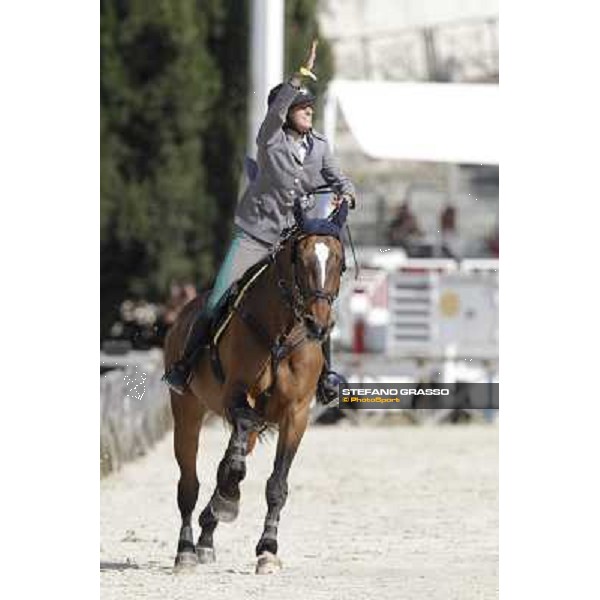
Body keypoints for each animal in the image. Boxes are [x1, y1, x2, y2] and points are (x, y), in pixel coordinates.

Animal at [164, 199, 352, 576]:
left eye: (338, 261)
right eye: (301, 260)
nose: (319, 324)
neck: (282, 330)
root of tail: (181, 315)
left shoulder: (297, 415)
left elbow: (276, 484)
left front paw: (267, 550)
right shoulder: (236, 395)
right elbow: (236, 452)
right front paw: (228, 499)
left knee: (228, 459)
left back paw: (209, 530)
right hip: (187, 412)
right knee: (188, 484)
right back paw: (187, 550)